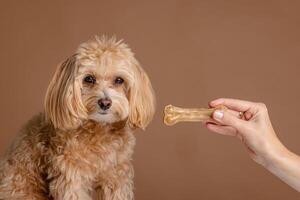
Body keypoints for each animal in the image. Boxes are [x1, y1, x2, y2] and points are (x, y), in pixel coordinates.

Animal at [0, 36, 156, 200]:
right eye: (89, 79)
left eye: (119, 80)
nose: (105, 103)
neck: (99, 128)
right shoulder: (71, 175)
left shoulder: (116, 175)